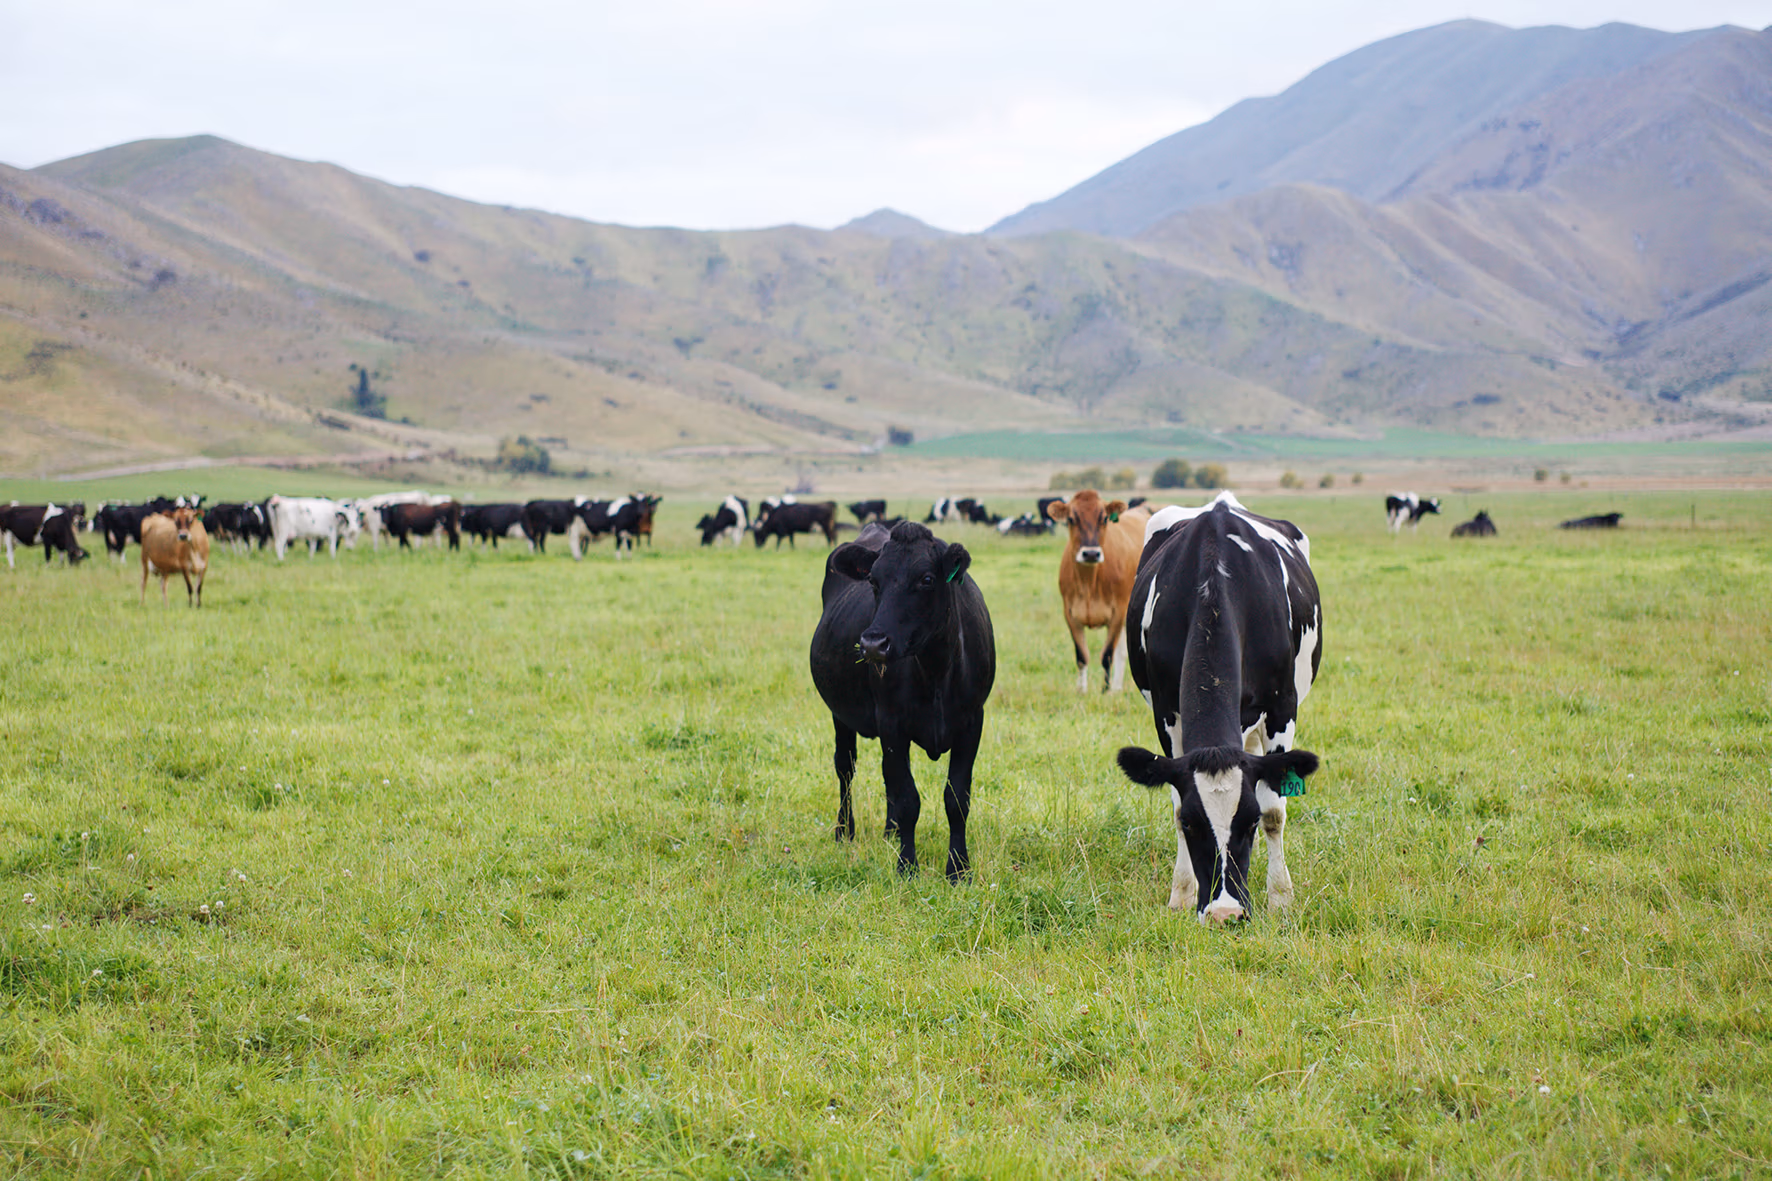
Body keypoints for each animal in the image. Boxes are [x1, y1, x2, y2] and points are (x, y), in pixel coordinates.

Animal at [810, 521, 996, 880]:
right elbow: (909, 798)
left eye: (926, 579)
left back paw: (890, 832)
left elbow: (956, 797)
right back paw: (845, 831)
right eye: (873, 581)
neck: (936, 670)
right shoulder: (892, 723)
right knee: (846, 768)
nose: (872, 644)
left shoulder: (972, 722)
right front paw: (907, 865)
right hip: (841, 715)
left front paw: (958, 868)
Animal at [1048, 491, 1153, 693]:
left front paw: (1105, 690)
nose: (1090, 553)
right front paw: (1081, 690)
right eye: (1071, 519)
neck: (1089, 583)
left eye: (1104, 518)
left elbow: (1107, 655)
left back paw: (1115, 689)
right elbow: (1081, 655)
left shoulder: (1117, 612)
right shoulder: (1070, 614)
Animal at [1117, 491, 1323, 925]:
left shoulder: (1283, 709)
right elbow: (1176, 801)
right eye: (1193, 826)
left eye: (1249, 823)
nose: (1225, 913)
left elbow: (1275, 810)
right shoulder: (1166, 714)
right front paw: (1182, 893)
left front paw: (1280, 898)